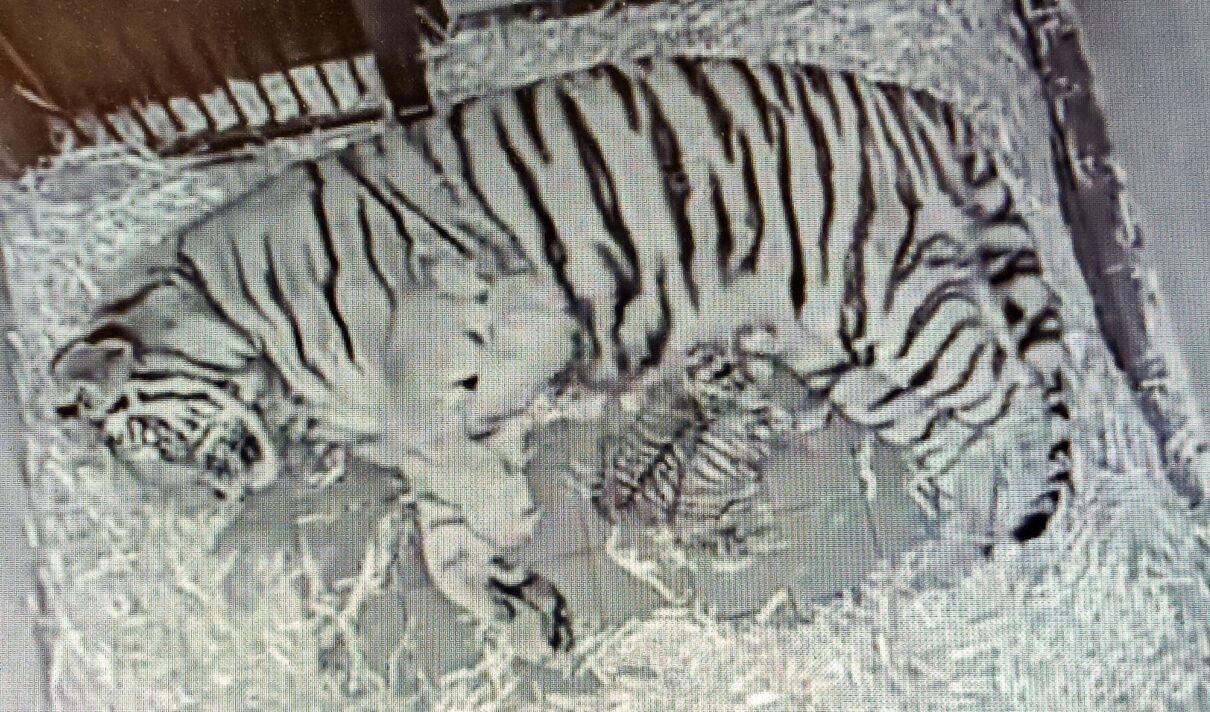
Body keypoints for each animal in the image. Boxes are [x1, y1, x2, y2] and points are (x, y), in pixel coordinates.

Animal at [52, 55, 1079, 663]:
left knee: (1010, 395)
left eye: (152, 445)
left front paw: (507, 514)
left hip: (880, 297)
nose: (224, 488)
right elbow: (443, 539)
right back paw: (952, 558)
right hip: (834, 344)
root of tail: (912, 98)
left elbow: (442, 433)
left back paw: (1028, 528)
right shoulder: (444, 428)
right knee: (956, 435)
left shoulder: (460, 317)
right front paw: (518, 601)